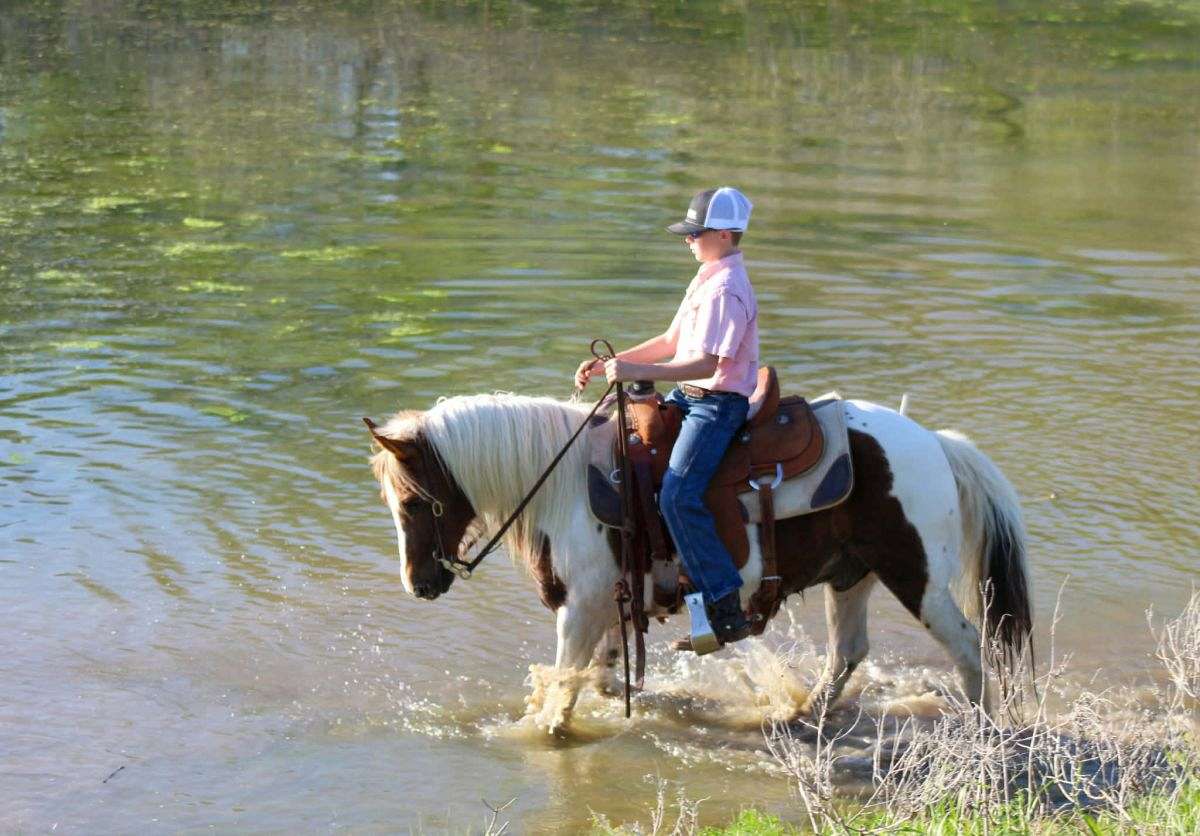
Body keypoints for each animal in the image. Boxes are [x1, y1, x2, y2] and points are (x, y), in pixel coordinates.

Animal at [365, 391, 1032, 732]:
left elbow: (564, 686)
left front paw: (548, 733)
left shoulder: (580, 608)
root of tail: (938, 444)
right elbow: (600, 677)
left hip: (917, 575)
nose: (418, 585)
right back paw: (801, 716)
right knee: (848, 653)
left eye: (412, 500)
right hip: (851, 575)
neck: (562, 483)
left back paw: (981, 732)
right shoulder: (611, 607)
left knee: (968, 645)